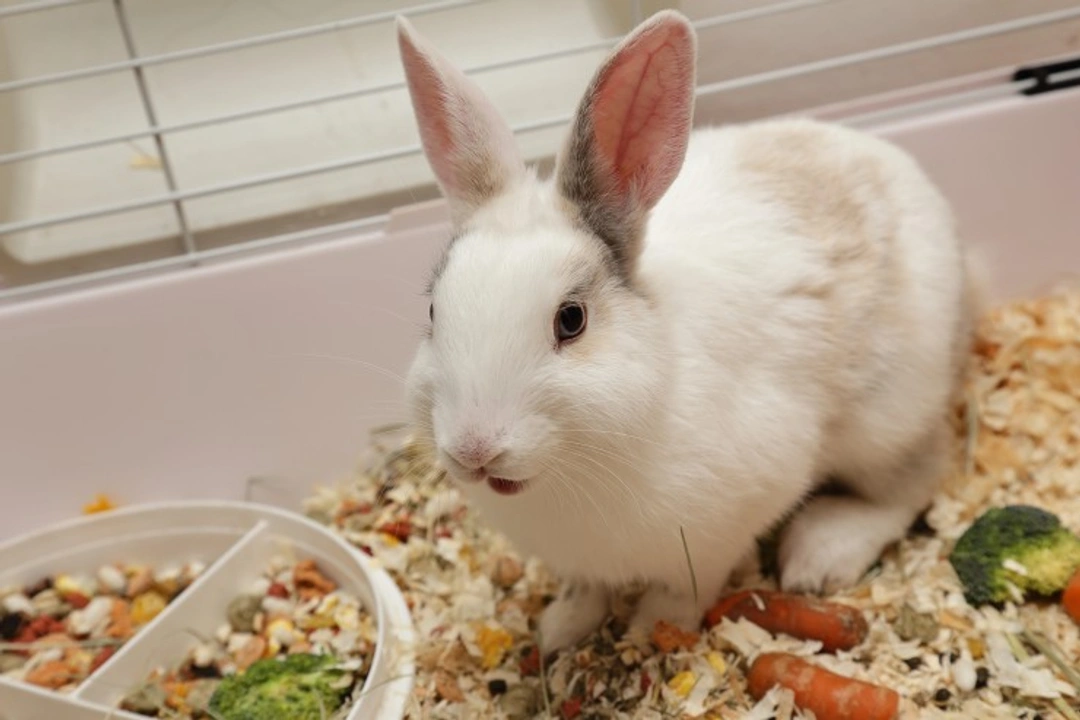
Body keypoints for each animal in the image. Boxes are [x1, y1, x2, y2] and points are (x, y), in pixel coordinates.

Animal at [396, 9, 983, 655]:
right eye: (433, 311)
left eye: (571, 320)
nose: (473, 450)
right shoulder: (575, 561)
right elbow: (585, 591)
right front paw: (559, 631)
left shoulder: (721, 527)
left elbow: (687, 585)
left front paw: (655, 627)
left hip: (890, 417)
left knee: (913, 480)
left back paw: (819, 555)